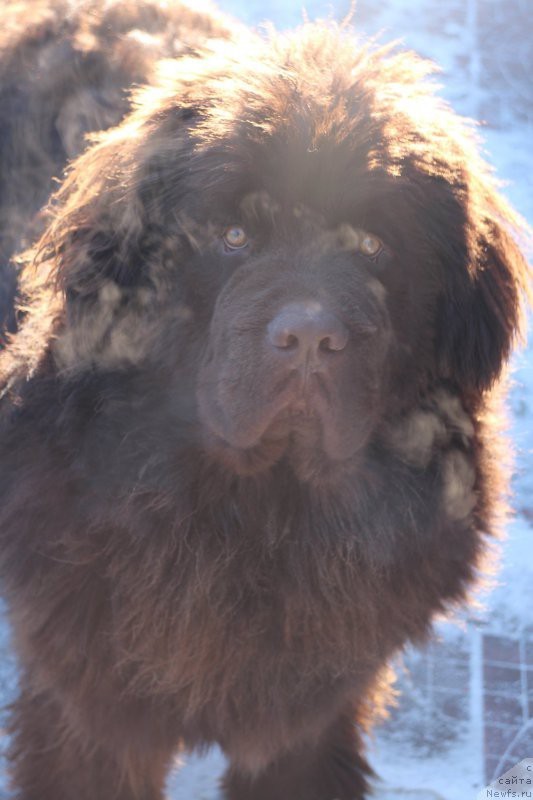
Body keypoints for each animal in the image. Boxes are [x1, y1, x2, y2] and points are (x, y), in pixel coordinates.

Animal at [0, 12, 528, 800]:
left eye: (372, 246)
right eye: (234, 237)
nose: (309, 334)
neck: (258, 515)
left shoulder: (316, 710)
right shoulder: (88, 711)